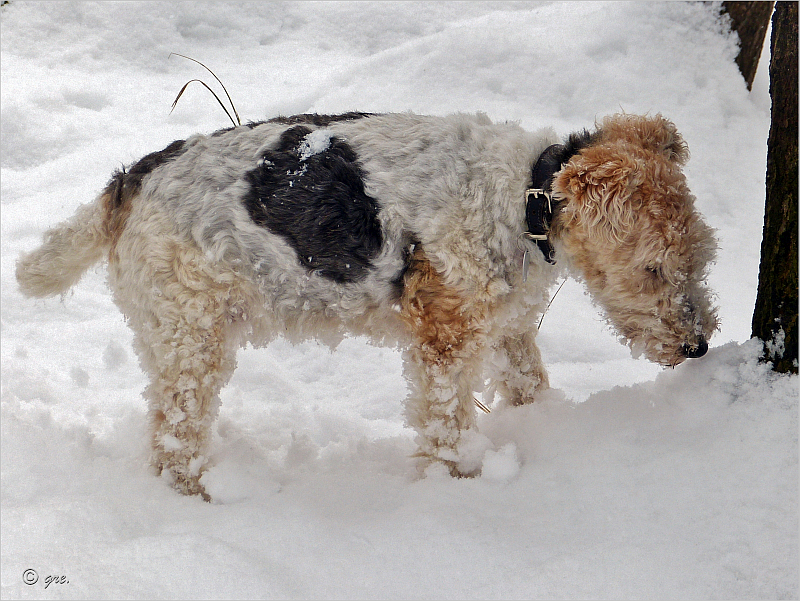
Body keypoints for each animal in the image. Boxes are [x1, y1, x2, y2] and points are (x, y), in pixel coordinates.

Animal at [17, 111, 720, 496]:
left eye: (701, 256)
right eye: (654, 268)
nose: (697, 345)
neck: (527, 198)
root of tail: (127, 182)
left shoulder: (510, 327)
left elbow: (527, 382)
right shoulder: (444, 337)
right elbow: (443, 423)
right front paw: (455, 488)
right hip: (192, 337)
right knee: (172, 439)